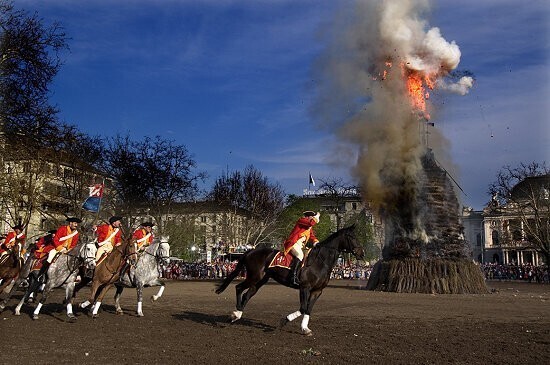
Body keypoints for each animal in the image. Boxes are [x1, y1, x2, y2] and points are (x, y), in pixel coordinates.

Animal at [217, 225, 366, 336]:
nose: (362, 253)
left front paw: (305, 329)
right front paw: (284, 321)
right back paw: (235, 314)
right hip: (254, 277)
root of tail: (250, 251)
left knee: (247, 295)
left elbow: (308, 309)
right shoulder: (304, 288)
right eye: (352, 237)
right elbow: (303, 308)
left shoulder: (317, 291)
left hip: (259, 281)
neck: (320, 261)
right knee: (239, 288)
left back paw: (237, 314)